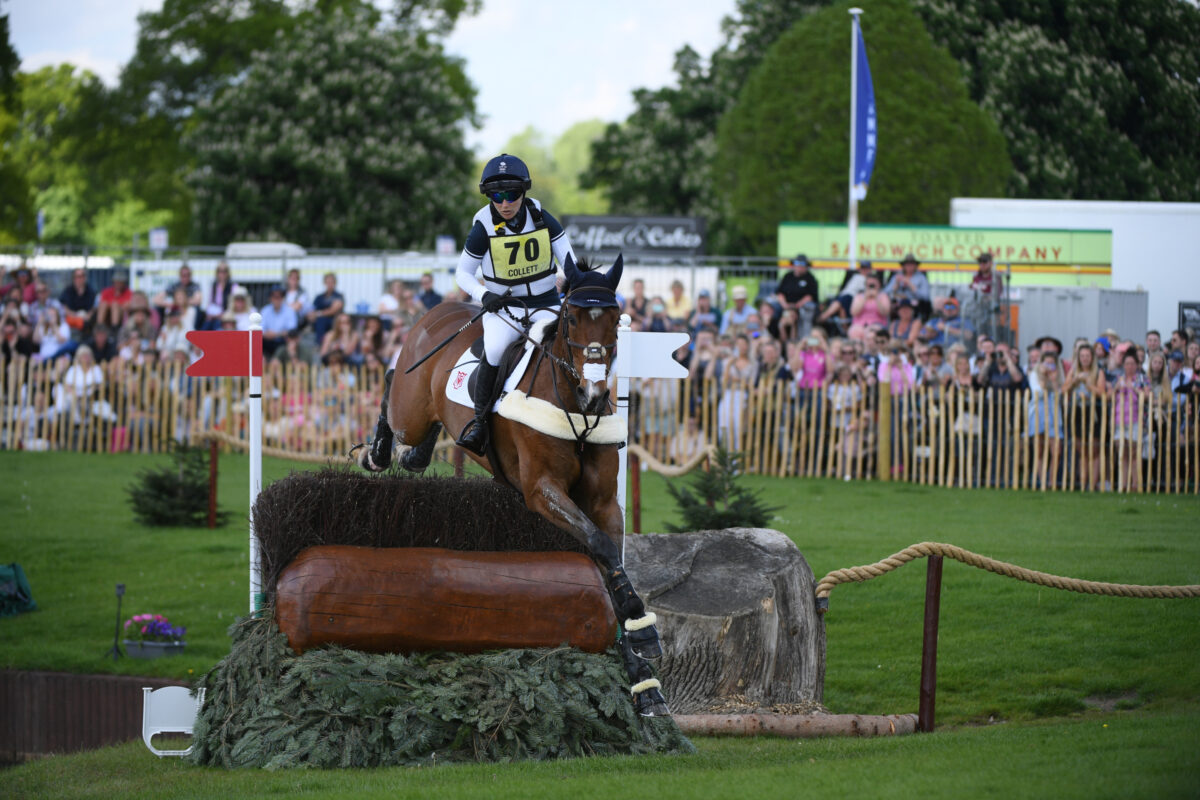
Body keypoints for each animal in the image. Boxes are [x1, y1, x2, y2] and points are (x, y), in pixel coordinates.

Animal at [358, 254, 668, 716]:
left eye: (615, 319)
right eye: (571, 319)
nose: (595, 394)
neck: (574, 406)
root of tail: (436, 311)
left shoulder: (602, 503)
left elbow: (609, 559)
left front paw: (642, 672)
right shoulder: (541, 491)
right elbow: (602, 548)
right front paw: (640, 629)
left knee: (419, 441)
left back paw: (413, 454)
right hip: (409, 409)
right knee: (393, 392)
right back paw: (377, 451)